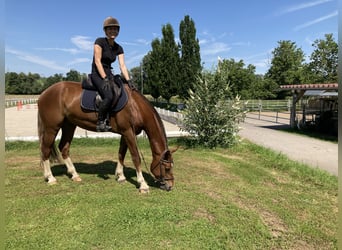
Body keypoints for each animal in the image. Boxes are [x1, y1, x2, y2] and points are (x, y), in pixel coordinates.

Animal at [37, 79, 176, 192]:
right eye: (167, 168)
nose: (170, 186)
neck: (134, 106)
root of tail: (44, 94)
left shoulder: (125, 133)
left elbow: (121, 154)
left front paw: (120, 176)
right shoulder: (128, 133)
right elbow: (136, 157)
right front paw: (143, 184)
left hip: (69, 125)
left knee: (63, 148)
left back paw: (74, 175)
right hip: (51, 128)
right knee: (45, 150)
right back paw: (50, 178)